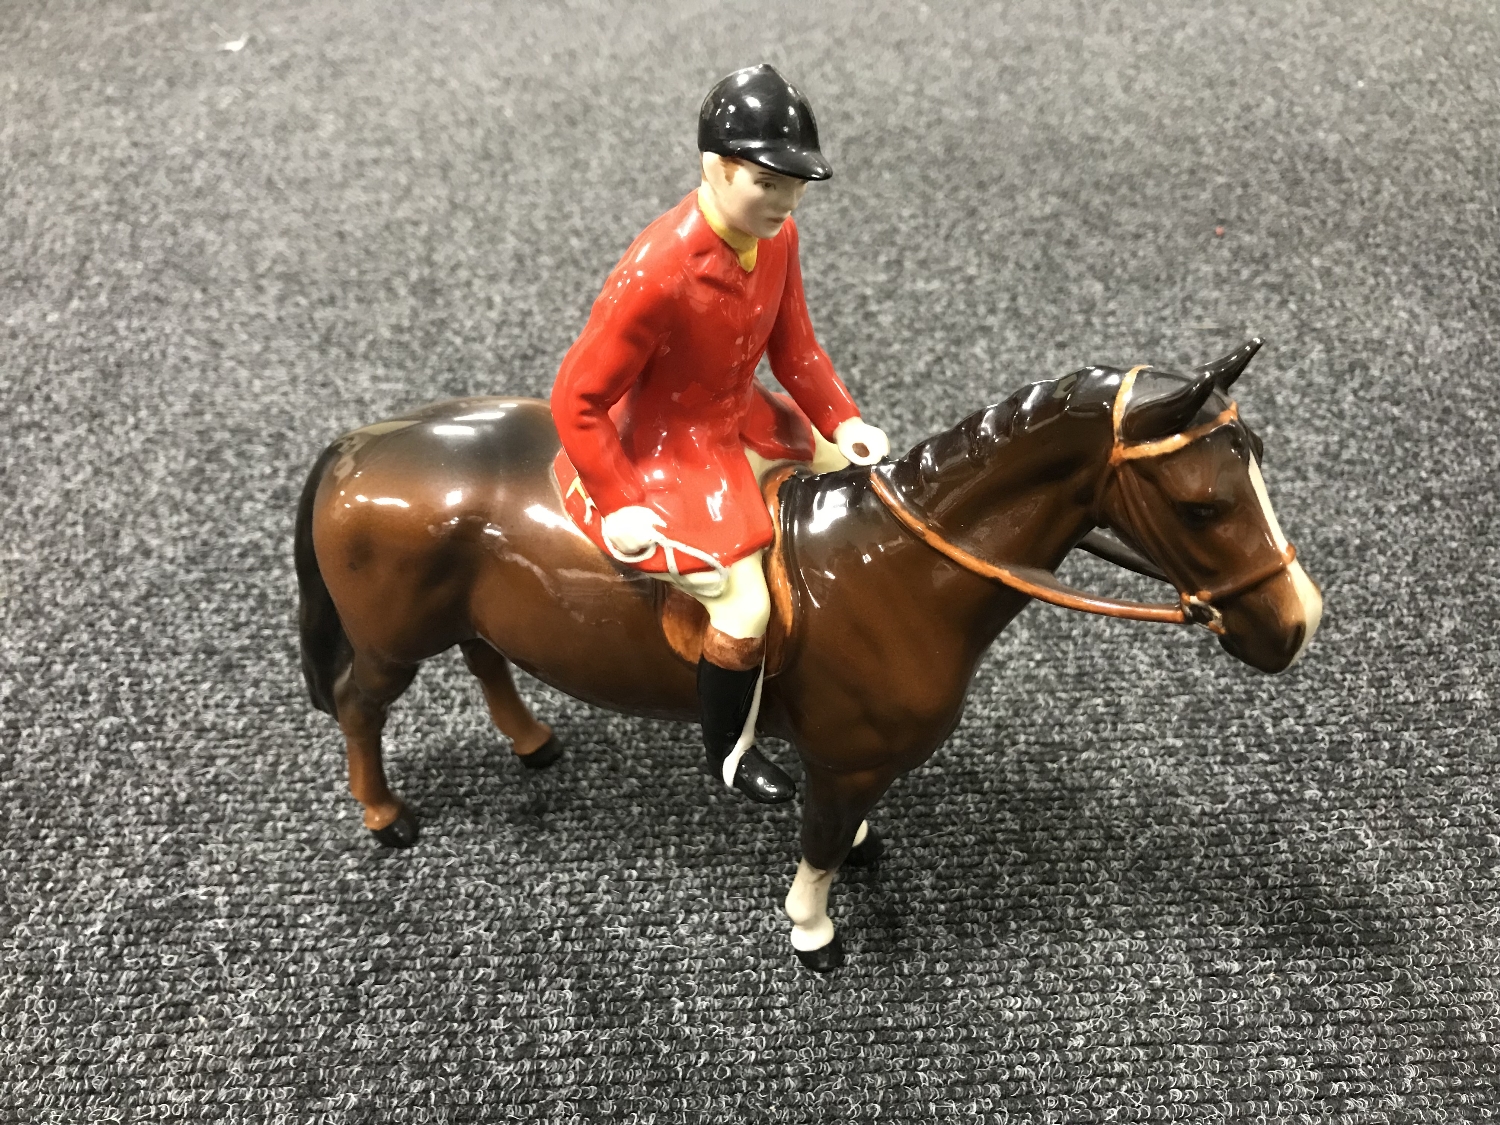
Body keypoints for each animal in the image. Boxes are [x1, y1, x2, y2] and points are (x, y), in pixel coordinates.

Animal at [295, 339, 1326, 972]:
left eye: (1260, 462)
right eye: (1202, 505)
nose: (1298, 624)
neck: (896, 566)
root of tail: (359, 444)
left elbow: (850, 831)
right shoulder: (840, 760)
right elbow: (821, 842)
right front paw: (813, 929)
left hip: (462, 620)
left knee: (485, 660)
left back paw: (531, 740)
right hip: (390, 644)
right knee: (358, 704)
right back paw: (385, 814)